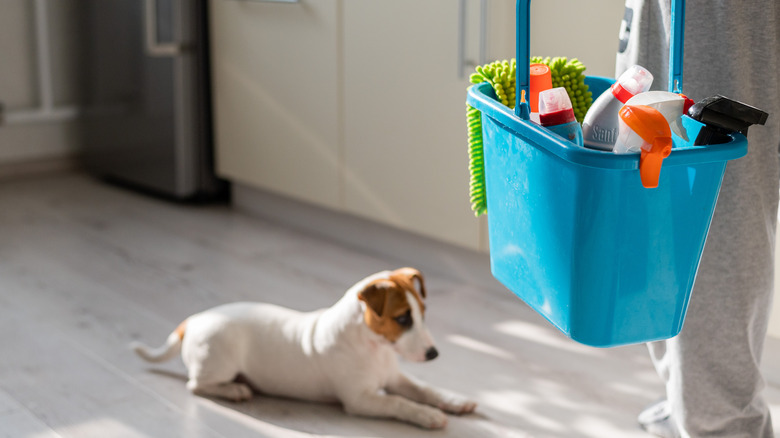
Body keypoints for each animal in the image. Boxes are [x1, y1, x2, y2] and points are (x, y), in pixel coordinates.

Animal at [129, 266, 476, 428]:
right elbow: (399, 403)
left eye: (422, 313)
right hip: (218, 361)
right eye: (402, 318)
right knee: (196, 385)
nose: (434, 354)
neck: (372, 346)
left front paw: (455, 401)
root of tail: (193, 319)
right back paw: (235, 390)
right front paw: (428, 416)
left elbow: (424, 389)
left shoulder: (395, 378)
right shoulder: (360, 400)